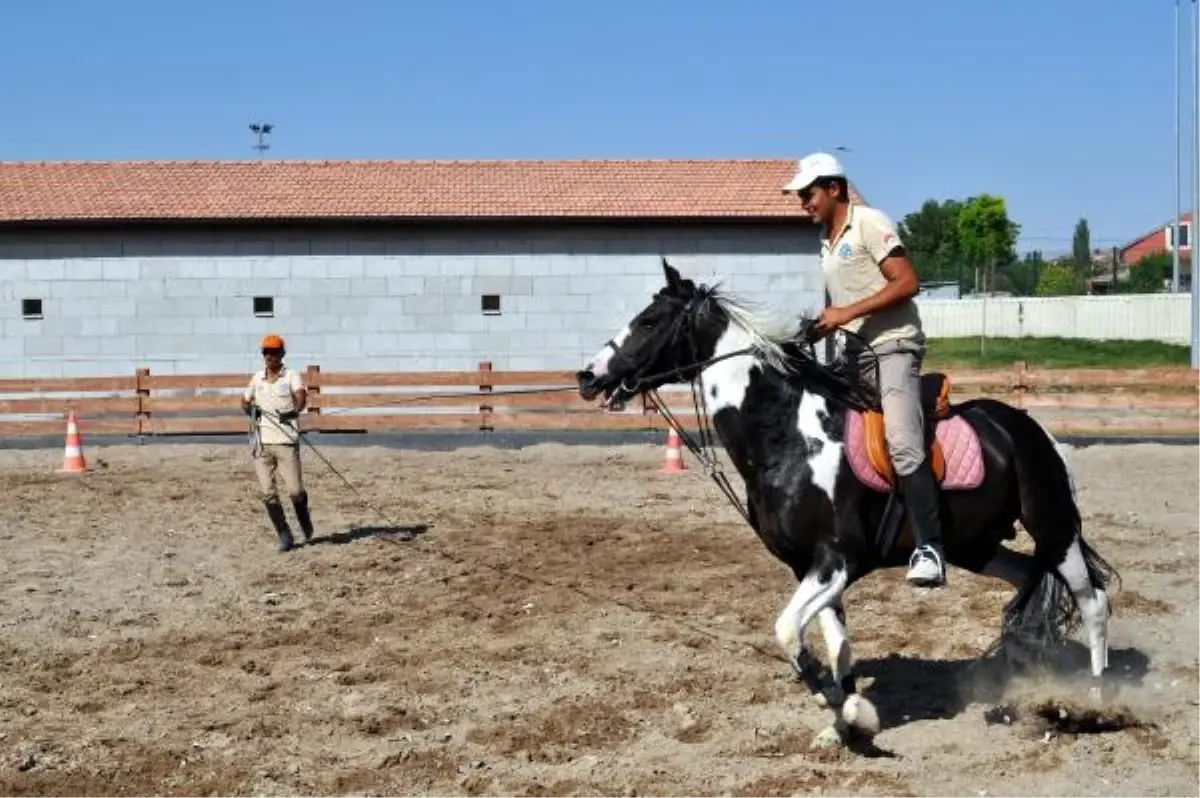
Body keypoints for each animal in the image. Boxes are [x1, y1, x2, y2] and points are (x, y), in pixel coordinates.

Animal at [571, 260, 1113, 748]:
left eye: (649, 321)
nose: (587, 377)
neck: (786, 437)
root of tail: (1029, 428)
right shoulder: (808, 566)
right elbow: (836, 642)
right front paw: (846, 717)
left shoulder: (837, 560)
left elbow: (787, 630)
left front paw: (835, 700)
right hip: (975, 545)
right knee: (1024, 585)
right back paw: (1016, 686)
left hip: (1054, 528)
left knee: (1093, 602)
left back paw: (1093, 703)